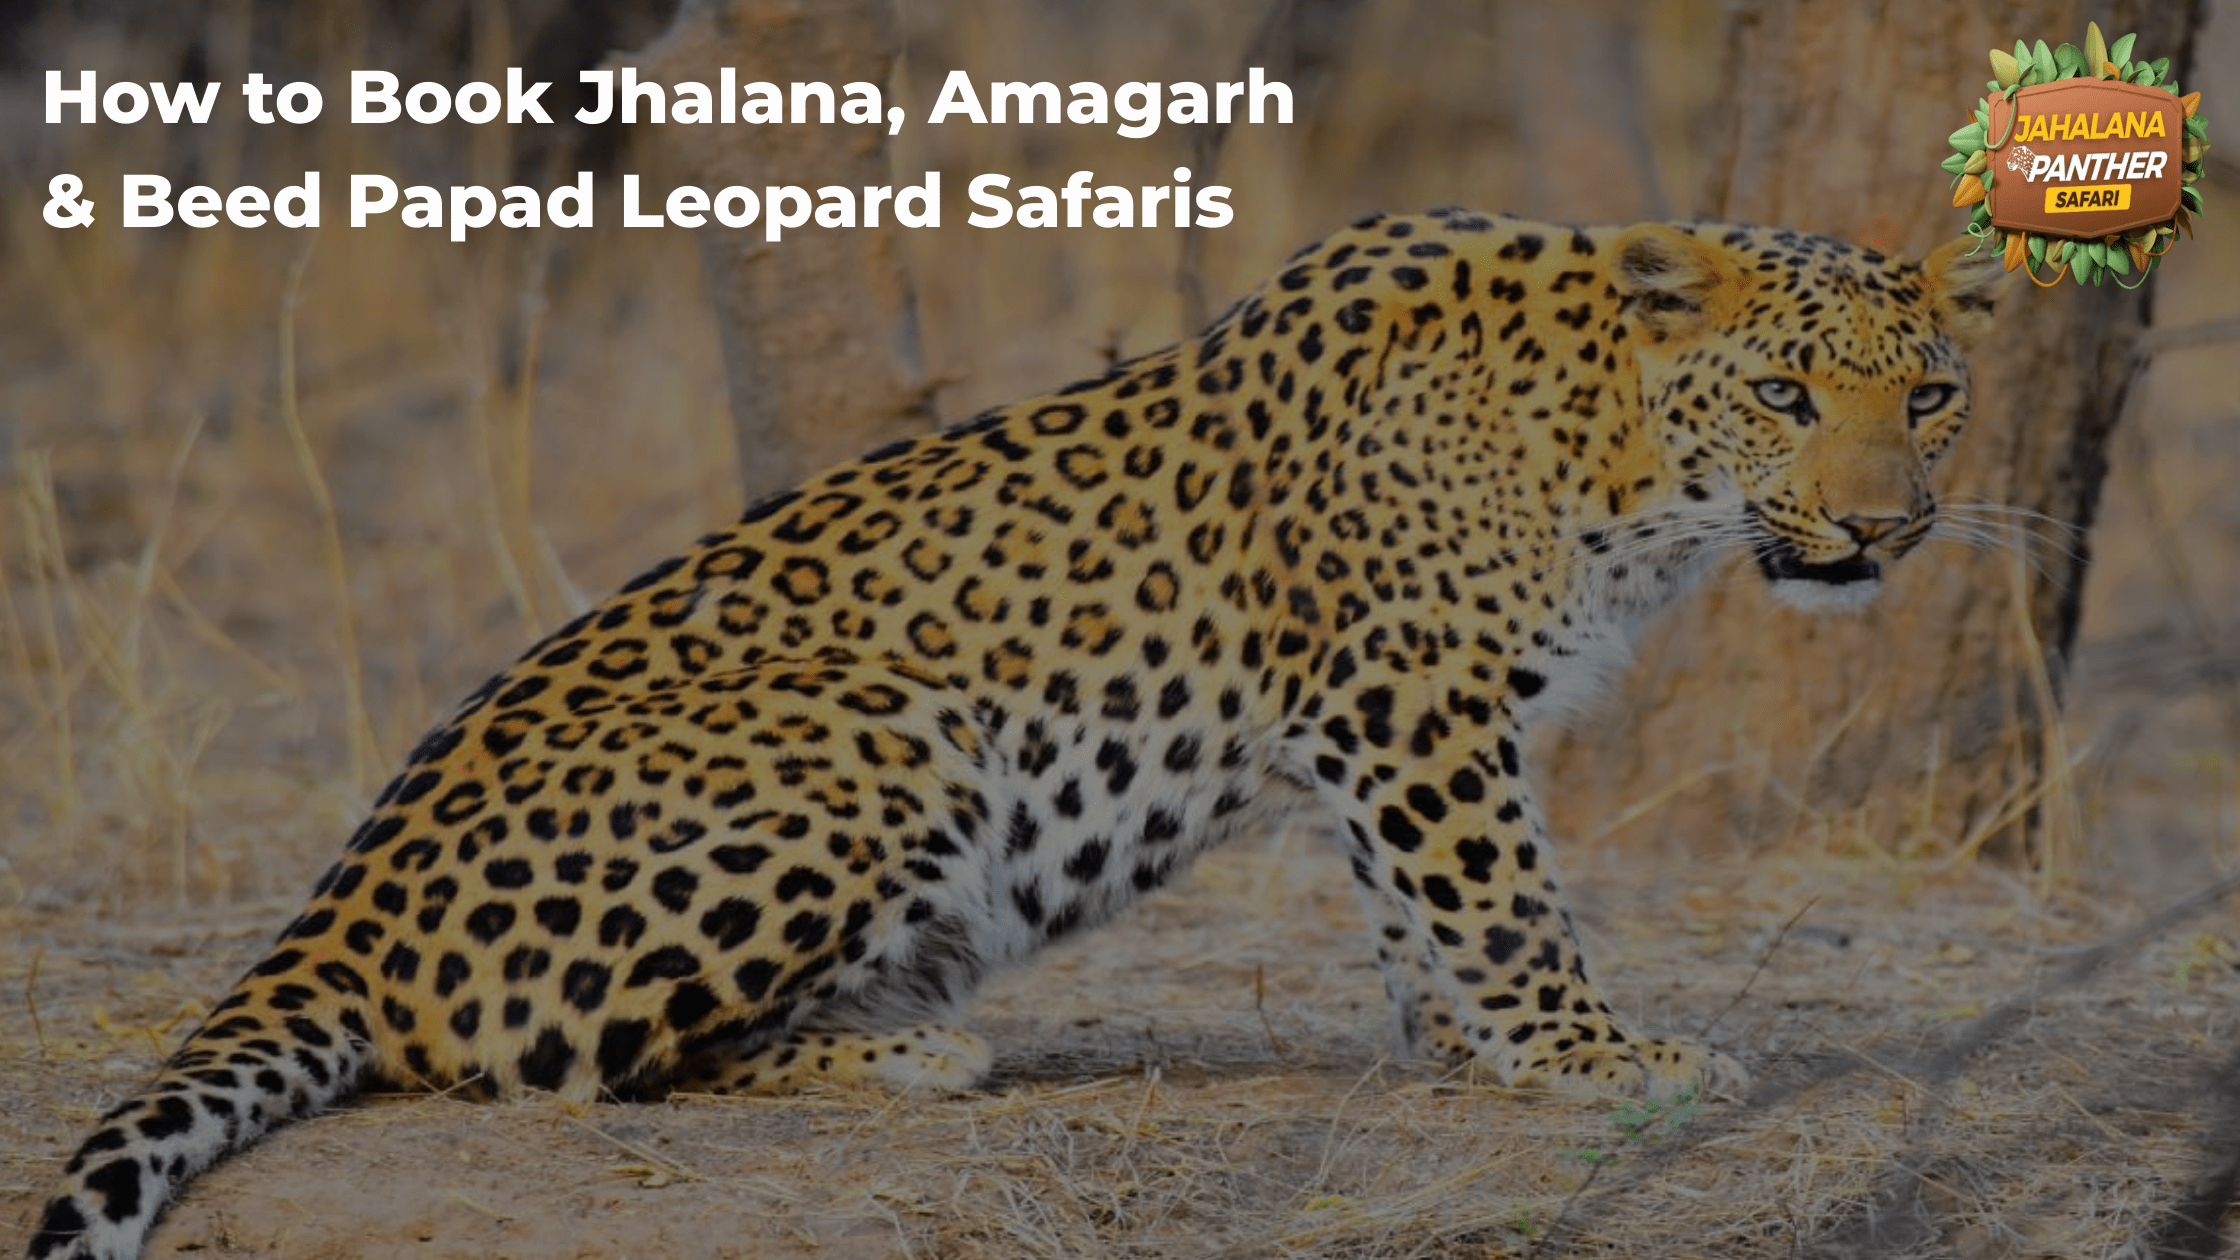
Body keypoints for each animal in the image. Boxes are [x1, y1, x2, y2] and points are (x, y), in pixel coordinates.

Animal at [29, 209, 2003, 1260]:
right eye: (1784, 394)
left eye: (1932, 397)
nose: (1886, 527)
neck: (1622, 460)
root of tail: (343, 904)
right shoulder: (1411, 701)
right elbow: (1502, 898)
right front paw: (1602, 1060)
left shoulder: (1397, 729)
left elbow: (1416, 909)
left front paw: (1463, 1052)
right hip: (879, 738)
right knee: (557, 1060)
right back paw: (912, 1055)